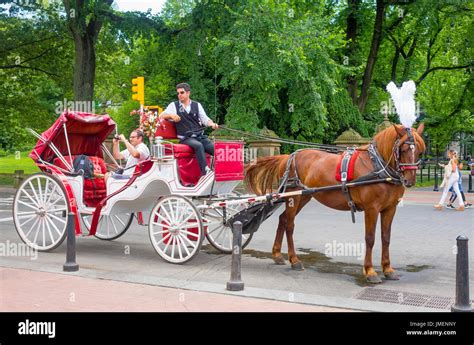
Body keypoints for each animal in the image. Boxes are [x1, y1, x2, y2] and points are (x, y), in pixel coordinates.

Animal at [244, 123, 426, 282]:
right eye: (403, 149)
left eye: (419, 151)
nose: (410, 180)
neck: (378, 167)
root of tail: (288, 157)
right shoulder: (371, 209)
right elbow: (370, 238)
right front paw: (370, 271)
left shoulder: (390, 209)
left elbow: (386, 237)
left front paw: (388, 269)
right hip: (293, 197)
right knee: (289, 224)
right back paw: (294, 260)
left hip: (304, 196)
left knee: (283, 219)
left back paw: (277, 254)